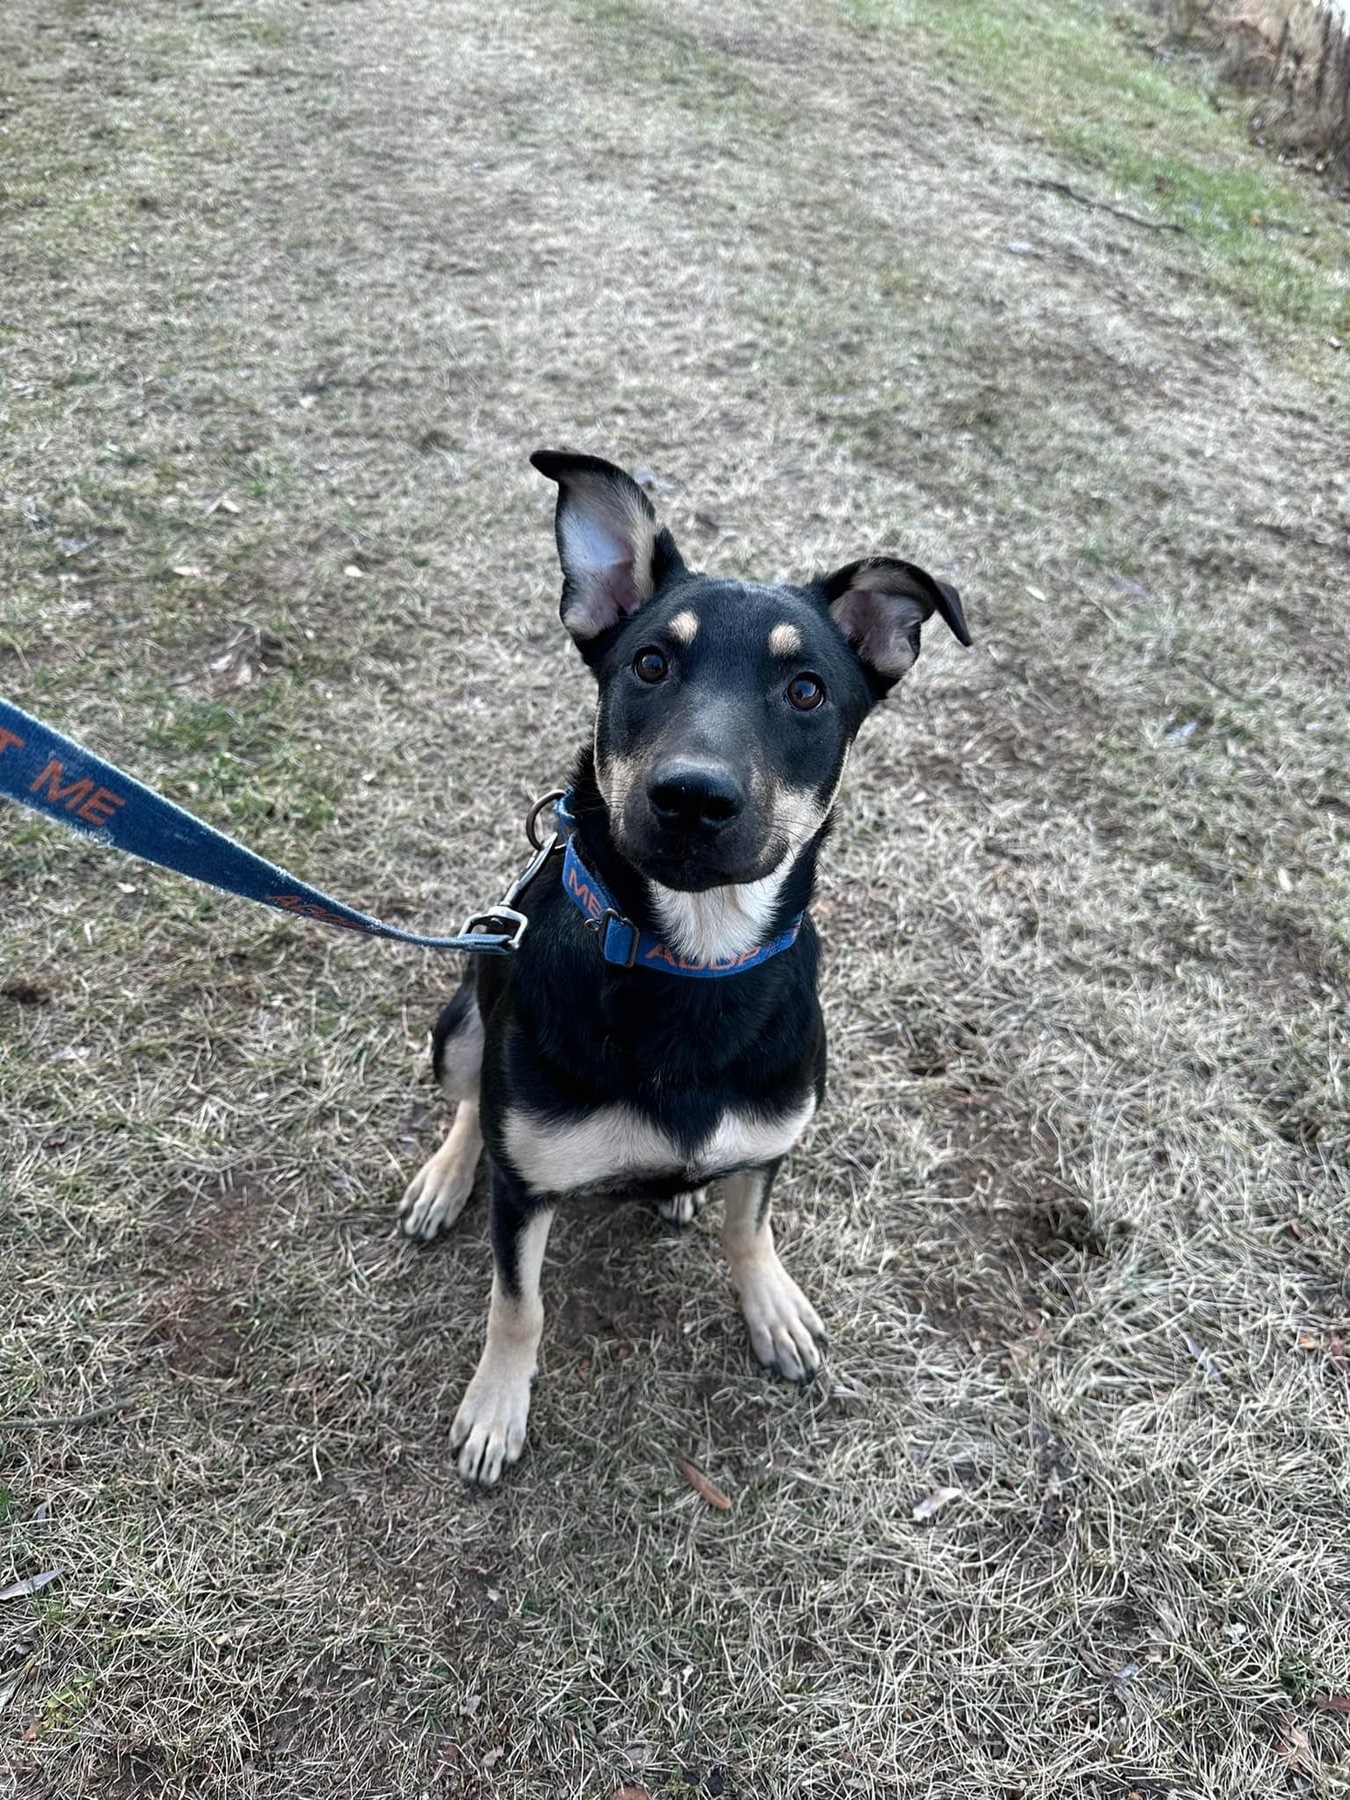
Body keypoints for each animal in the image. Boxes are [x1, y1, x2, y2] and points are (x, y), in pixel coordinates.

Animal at [399, 451, 970, 1485]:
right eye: (650, 664)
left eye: (807, 690)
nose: (694, 799)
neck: (693, 961)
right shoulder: (529, 1187)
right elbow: (518, 1303)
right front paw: (497, 1406)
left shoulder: (773, 1136)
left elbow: (752, 1225)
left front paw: (771, 1303)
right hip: (464, 1015)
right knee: (470, 1100)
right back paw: (449, 1175)